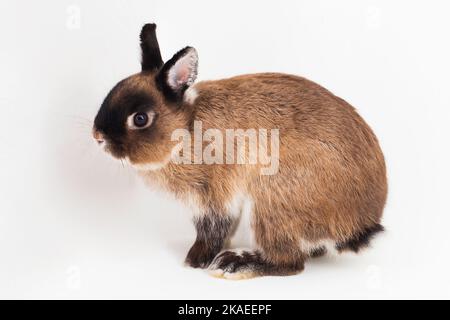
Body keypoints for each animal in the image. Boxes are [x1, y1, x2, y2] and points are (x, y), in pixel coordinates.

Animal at [92, 23, 386, 280]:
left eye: (140, 118)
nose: (97, 137)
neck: (185, 130)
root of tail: (361, 223)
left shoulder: (214, 197)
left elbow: (213, 228)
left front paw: (196, 260)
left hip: (272, 200)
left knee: (290, 263)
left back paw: (235, 264)